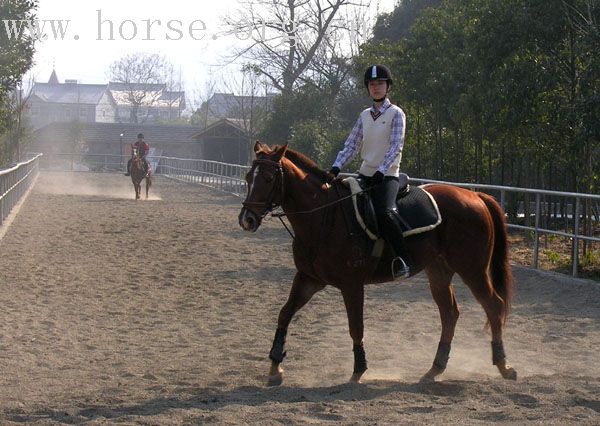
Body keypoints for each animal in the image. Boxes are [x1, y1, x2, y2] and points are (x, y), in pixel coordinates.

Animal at [239, 142, 516, 386]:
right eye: (248, 177)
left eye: (268, 179)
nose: (246, 219)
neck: (324, 216)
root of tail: (475, 195)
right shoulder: (309, 279)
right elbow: (284, 314)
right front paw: (275, 368)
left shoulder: (351, 284)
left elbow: (356, 326)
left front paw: (359, 371)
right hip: (439, 271)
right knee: (449, 313)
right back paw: (435, 369)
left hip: (472, 269)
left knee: (493, 305)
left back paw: (504, 365)